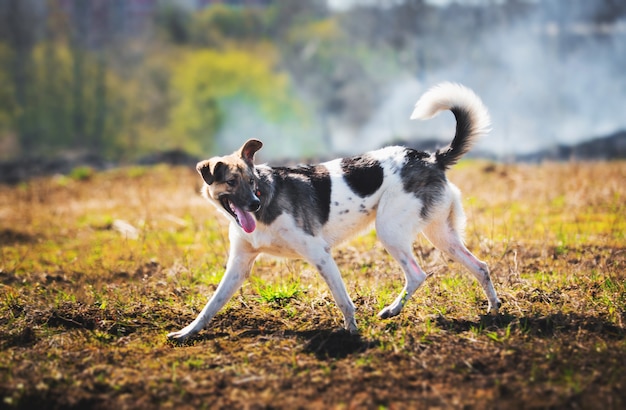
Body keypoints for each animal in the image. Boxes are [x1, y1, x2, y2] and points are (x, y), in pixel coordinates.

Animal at [166, 82, 498, 342]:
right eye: (232, 183)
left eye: (252, 182)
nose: (254, 205)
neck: (267, 201)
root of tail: (431, 157)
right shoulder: (239, 265)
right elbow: (211, 304)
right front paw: (187, 333)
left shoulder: (320, 254)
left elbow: (343, 300)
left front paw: (351, 333)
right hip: (442, 236)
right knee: (480, 266)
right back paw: (494, 310)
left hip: (390, 231)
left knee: (417, 274)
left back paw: (393, 310)